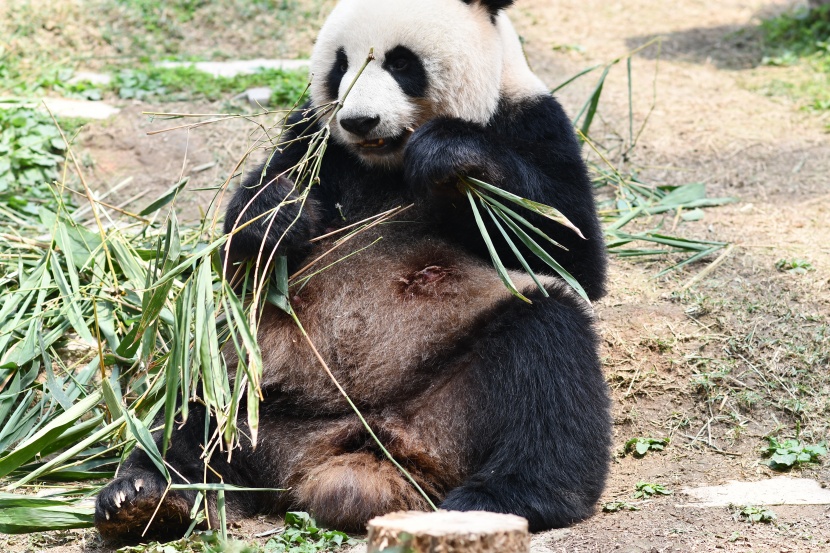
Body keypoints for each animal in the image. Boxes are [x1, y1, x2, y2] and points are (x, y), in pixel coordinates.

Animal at [96, 0, 612, 540]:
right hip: (259, 386)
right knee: (198, 404)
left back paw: (504, 496)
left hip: (458, 394)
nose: (360, 121)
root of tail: (332, 460)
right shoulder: (311, 136)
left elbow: (566, 248)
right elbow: (244, 253)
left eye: (401, 63)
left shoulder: (533, 122)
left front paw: (449, 156)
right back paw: (147, 497)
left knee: (549, 358)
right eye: (340, 65)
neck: (386, 160)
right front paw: (279, 212)